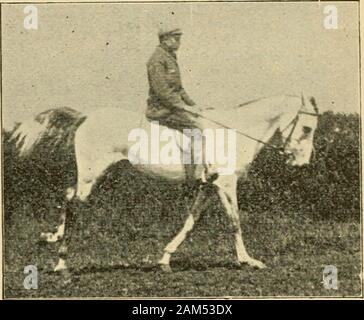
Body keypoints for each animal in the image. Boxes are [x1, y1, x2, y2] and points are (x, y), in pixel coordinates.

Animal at [9, 92, 318, 278]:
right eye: (307, 128)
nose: (302, 164)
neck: (235, 132)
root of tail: (86, 117)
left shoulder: (209, 186)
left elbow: (190, 222)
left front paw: (165, 259)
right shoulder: (226, 184)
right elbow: (235, 221)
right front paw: (247, 260)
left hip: (94, 174)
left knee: (69, 195)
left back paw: (52, 237)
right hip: (91, 172)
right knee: (74, 203)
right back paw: (61, 262)